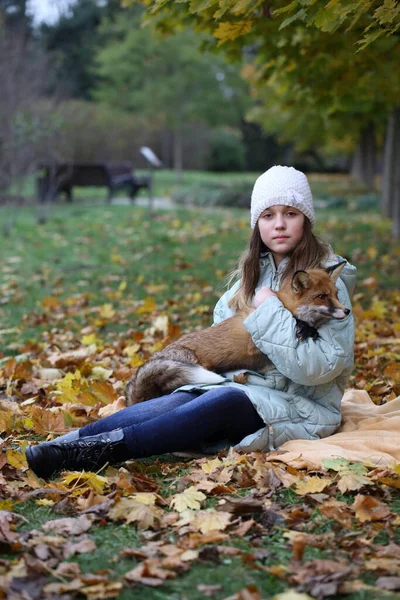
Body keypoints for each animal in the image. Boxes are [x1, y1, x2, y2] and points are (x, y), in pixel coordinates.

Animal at [126, 262, 348, 406]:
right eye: (322, 296)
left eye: (336, 294)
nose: (347, 311)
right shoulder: (254, 343)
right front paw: (303, 326)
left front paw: (308, 328)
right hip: (190, 361)